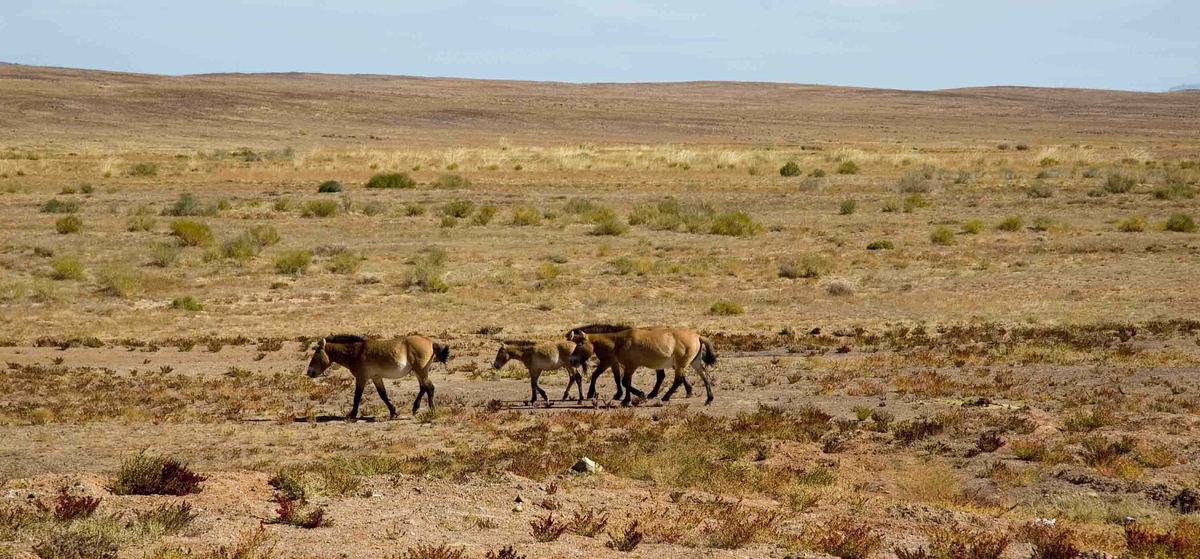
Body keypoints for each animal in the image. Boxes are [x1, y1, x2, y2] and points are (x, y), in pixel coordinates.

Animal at [304, 331, 451, 419]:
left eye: (316, 355)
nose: (309, 372)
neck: (356, 351)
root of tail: (431, 342)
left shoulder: (361, 378)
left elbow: (357, 397)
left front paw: (352, 415)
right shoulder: (376, 378)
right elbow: (383, 395)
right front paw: (393, 412)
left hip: (421, 371)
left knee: (429, 388)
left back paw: (432, 411)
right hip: (418, 372)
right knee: (423, 388)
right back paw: (415, 408)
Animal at [566, 326, 715, 403]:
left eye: (579, 343)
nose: (572, 360)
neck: (618, 342)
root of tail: (698, 336)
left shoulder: (628, 365)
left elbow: (623, 381)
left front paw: (639, 395)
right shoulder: (625, 366)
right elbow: (625, 381)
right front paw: (626, 400)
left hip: (681, 365)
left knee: (678, 380)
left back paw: (665, 397)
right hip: (694, 363)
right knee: (705, 376)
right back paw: (709, 399)